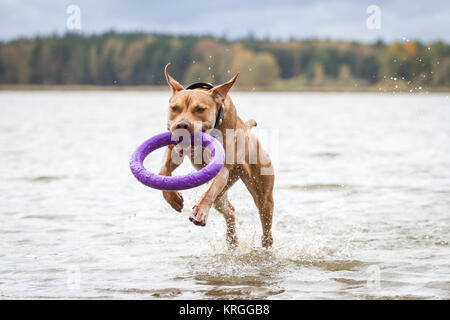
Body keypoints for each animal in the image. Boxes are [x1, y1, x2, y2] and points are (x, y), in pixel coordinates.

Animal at [157, 62, 274, 248]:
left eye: (200, 109)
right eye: (174, 108)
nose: (182, 124)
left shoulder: (222, 169)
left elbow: (209, 193)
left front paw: (200, 212)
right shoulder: (173, 152)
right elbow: (163, 171)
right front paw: (173, 198)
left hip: (263, 193)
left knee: (265, 221)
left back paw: (265, 244)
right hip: (223, 193)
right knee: (229, 209)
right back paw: (231, 240)